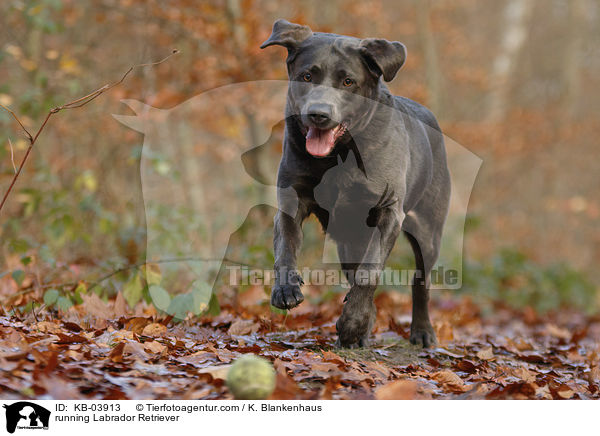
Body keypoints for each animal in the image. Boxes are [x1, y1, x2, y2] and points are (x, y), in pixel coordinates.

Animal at [258, 19, 450, 348]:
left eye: (348, 82)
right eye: (307, 76)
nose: (319, 114)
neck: (339, 156)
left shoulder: (389, 211)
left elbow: (370, 271)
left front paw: (352, 324)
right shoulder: (291, 198)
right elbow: (285, 247)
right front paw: (286, 290)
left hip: (428, 231)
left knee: (420, 281)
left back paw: (422, 331)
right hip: (349, 239)